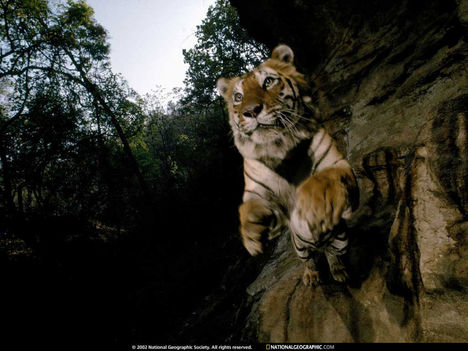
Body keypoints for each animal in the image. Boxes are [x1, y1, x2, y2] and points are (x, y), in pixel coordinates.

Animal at [216, 44, 358, 286]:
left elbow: (324, 178)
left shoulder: (338, 164)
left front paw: (314, 199)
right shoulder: (258, 191)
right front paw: (251, 235)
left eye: (268, 82)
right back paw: (311, 276)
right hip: (299, 247)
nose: (251, 111)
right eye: (238, 96)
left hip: (342, 239)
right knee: (309, 261)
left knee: (332, 254)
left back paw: (339, 271)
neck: (279, 147)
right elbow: (248, 207)